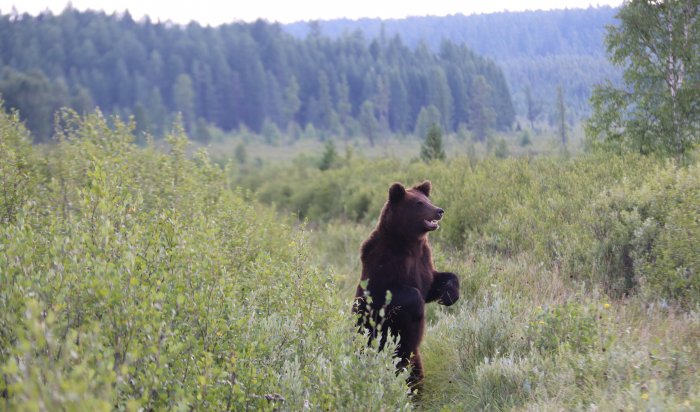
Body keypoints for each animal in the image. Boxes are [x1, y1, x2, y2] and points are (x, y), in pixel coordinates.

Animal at [356, 179, 460, 386]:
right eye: (419, 203)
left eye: (428, 199)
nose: (439, 210)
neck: (409, 243)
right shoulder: (382, 263)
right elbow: (396, 293)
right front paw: (418, 309)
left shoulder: (423, 261)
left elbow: (435, 282)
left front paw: (449, 295)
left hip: (413, 358)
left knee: (414, 376)